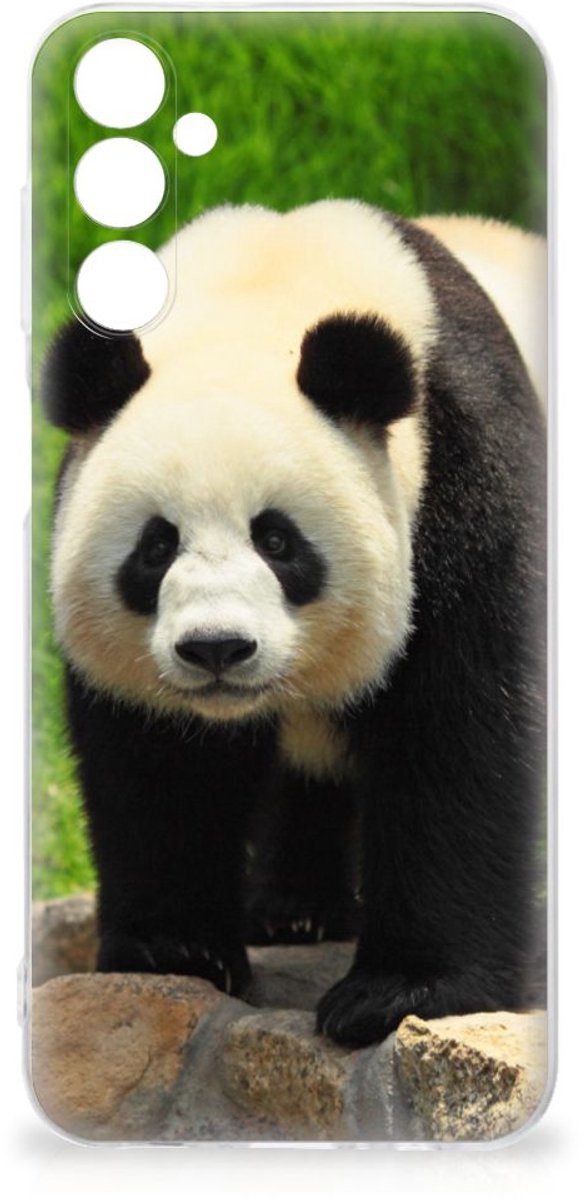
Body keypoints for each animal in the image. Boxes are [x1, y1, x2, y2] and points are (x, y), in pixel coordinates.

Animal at [42, 201, 546, 1047]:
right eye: (156, 546)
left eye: (277, 541)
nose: (216, 648)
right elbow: (157, 761)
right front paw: (175, 950)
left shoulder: (466, 474)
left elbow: (461, 730)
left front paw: (400, 992)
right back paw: (295, 911)